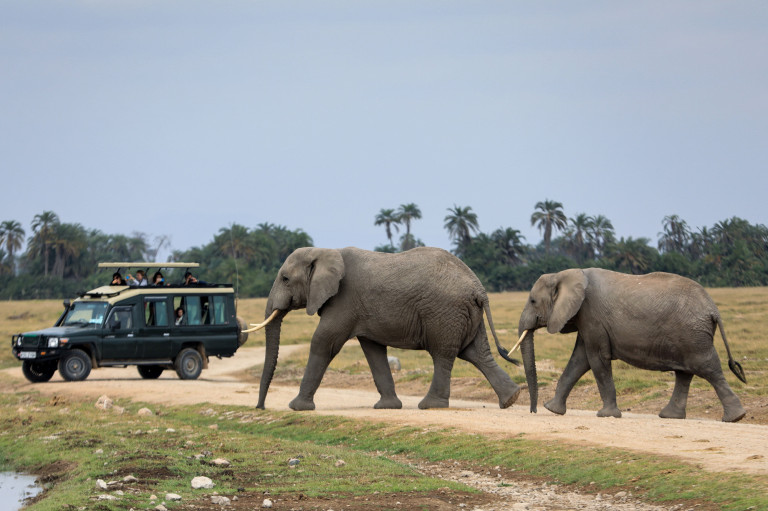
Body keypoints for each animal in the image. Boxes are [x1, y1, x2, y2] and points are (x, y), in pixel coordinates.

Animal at [252, 246, 520, 410]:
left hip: (444, 312)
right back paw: (511, 399)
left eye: (285, 279)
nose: (261, 406)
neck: (326, 251)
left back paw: (430, 405)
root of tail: (479, 289)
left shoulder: (344, 301)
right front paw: (388, 407)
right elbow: (373, 351)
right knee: (477, 353)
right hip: (465, 314)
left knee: (443, 354)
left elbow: (323, 342)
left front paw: (296, 407)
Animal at [516, 268, 744, 424]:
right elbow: (580, 360)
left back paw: (735, 417)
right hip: (689, 336)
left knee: (707, 367)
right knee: (685, 373)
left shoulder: (591, 315)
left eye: (533, 301)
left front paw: (606, 415)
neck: (566, 274)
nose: (533, 410)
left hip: (693, 335)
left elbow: (596, 359)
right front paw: (552, 409)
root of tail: (713, 309)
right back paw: (670, 416)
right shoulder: (586, 319)